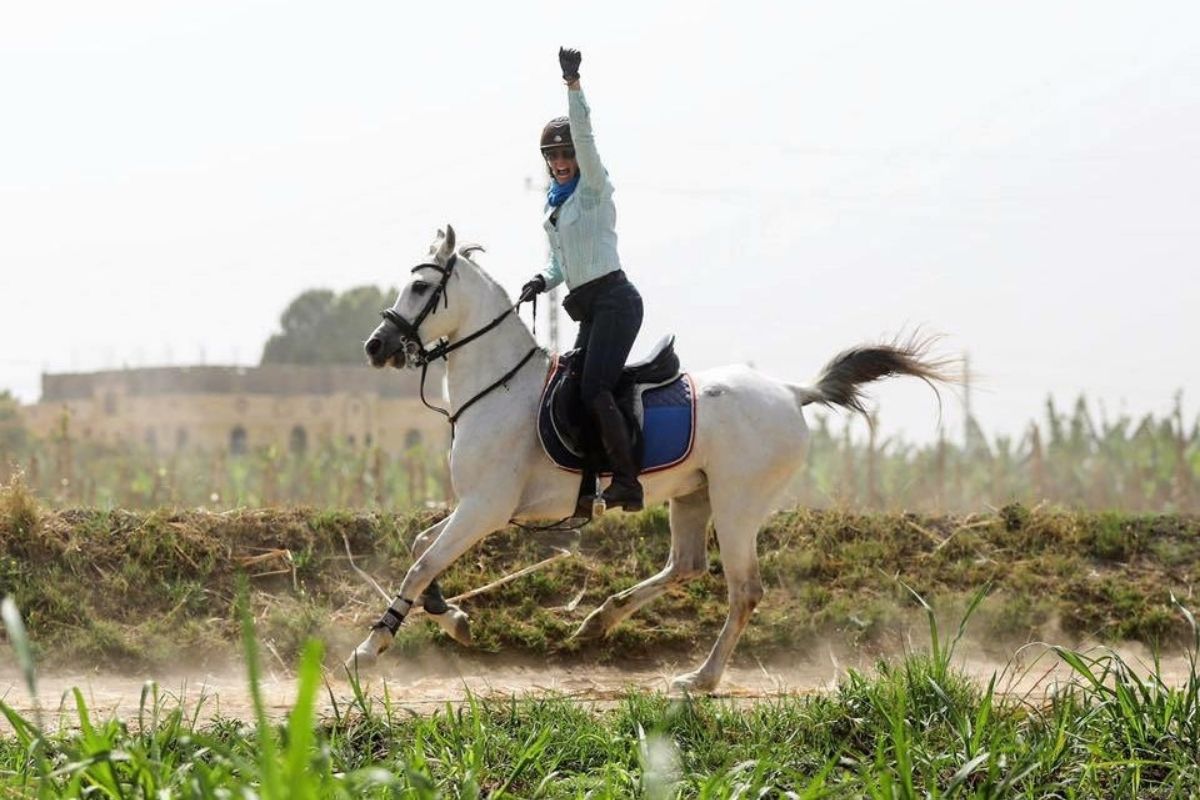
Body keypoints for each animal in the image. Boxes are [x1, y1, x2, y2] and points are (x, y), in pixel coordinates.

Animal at [352, 224, 954, 692]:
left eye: (420, 286)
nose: (375, 347)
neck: (498, 388)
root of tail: (791, 391)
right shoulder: (477, 507)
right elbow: (422, 548)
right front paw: (452, 617)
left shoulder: (486, 507)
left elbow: (421, 562)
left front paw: (371, 647)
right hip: (694, 496)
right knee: (687, 565)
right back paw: (600, 620)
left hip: (737, 506)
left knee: (744, 591)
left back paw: (701, 678)